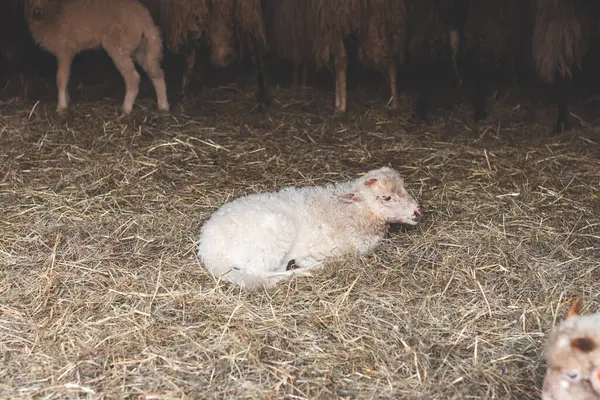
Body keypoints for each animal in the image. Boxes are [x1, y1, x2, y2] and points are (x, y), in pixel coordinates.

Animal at [197, 166, 422, 290]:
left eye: (404, 188)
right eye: (387, 197)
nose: (417, 211)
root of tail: (208, 248)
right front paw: (309, 262)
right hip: (273, 237)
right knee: (261, 272)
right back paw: (307, 270)